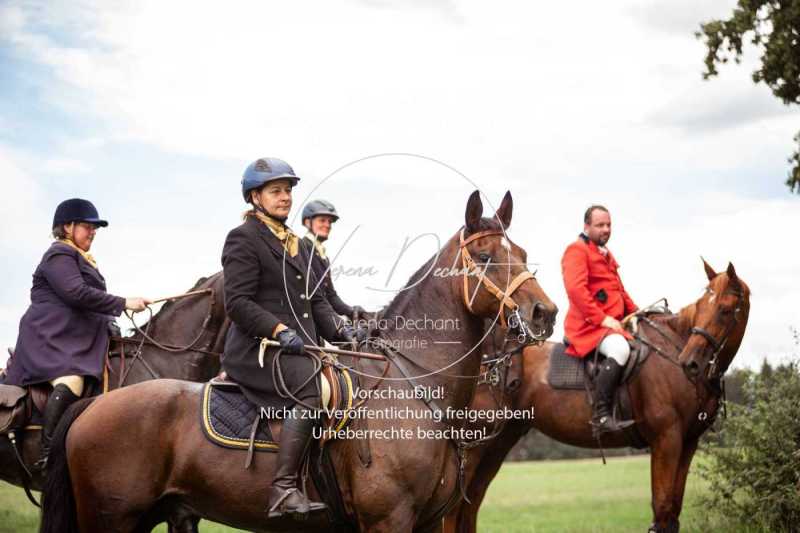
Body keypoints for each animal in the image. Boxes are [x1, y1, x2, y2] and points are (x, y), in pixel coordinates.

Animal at [37, 191, 560, 532]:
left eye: (522, 252)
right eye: (486, 256)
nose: (545, 313)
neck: (413, 386)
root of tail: (94, 405)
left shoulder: (429, 523)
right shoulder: (388, 520)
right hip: (112, 519)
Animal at [444, 258, 752, 532]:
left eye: (725, 310)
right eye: (702, 306)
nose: (690, 362)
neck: (672, 349)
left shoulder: (688, 443)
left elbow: (673, 512)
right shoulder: (666, 439)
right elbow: (662, 510)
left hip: (497, 444)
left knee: (470, 505)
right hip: (474, 448)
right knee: (454, 509)